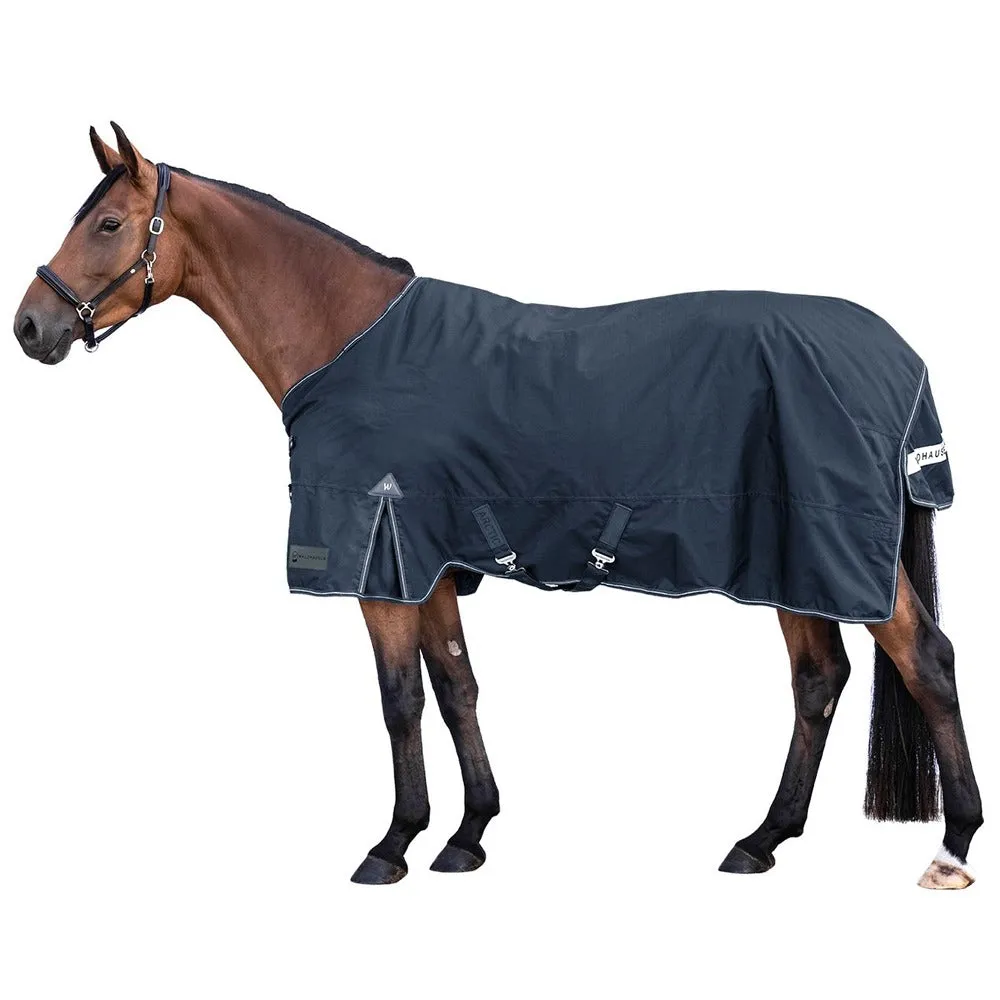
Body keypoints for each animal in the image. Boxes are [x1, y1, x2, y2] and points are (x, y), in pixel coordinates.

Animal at [13, 124, 983, 888]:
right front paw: (468, 834)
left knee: (924, 660)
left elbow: (400, 699)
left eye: (106, 223)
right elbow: (457, 687)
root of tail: (896, 354)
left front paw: (392, 844)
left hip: (831, 551)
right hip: (789, 558)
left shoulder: (381, 564)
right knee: (819, 680)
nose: (29, 328)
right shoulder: (431, 563)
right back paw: (761, 839)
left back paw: (954, 845)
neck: (349, 340)